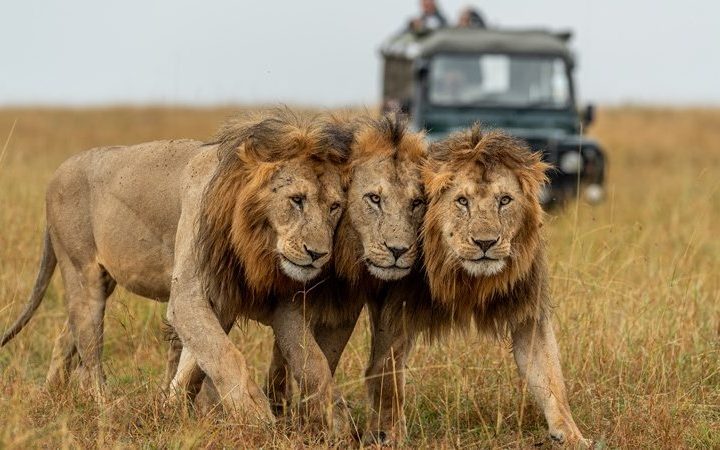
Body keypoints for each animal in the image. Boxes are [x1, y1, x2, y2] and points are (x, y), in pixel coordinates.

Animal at [1, 109, 352, 426]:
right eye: (296, 199)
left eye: (335, 207)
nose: (318, 254)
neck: (254, 241)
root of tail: (58, 171)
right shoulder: (188, 296)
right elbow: (224, 354)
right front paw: (256, 416)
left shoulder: (238, 299)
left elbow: (199, 364)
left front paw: (169, 407)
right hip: (82, 274)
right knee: (89, 354)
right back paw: (103, 409)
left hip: (101, 281)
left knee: (66, 336)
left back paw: (49, 396)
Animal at [360, 123, 592, 446]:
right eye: (462, 201)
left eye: (504, 200)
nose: (485, 243)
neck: (464, 276)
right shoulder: (394, 313)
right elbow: (387, 378)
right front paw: (387, 437)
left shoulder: (528, 312)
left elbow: (550, 378)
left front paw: (571, 436)